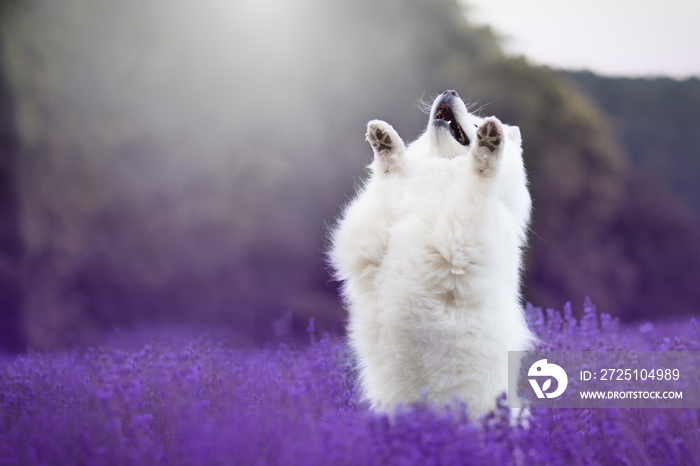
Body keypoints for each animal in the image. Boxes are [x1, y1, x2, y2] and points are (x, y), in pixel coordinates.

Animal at [330, 91, 532, 416]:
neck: (441, 173)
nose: (450, 91)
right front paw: (385, 143)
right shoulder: (367, 242)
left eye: (477, 122)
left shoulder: (460, 243)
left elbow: (480, 180)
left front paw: (489, 147)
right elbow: (389, 179)